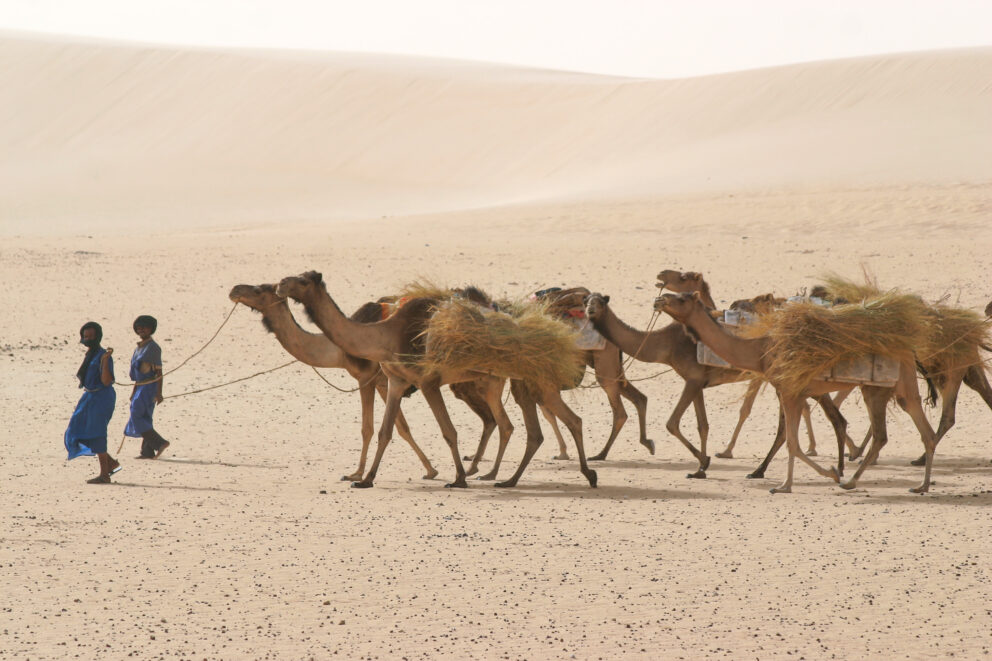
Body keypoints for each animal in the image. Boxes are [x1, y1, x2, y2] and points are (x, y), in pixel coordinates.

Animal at [276, 270, 592, 490]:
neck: (385, 335)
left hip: (532, 379)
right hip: (511, 381)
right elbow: (385, 432)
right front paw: (365, 479)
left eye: (302, 280)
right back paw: (506, 478)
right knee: (528, 426)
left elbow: (448, 431)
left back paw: (585, 474)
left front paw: (459, 478)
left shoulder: (428, 381)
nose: (280, 284)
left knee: (562, 421)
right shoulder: (396, 382)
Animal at [660, 292, 936, 492]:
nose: (659, 299)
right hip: (904, 386)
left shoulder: (789, 391)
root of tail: (910, 350)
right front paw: (818, 475)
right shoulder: (794, 392)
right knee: (924, 429)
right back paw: (920, 486)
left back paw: (851, 481)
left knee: (882, 436)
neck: (760, 350)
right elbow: (792, 440)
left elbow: (792, 442)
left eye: (682, 298)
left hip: (875, 389)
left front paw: (789, 484)